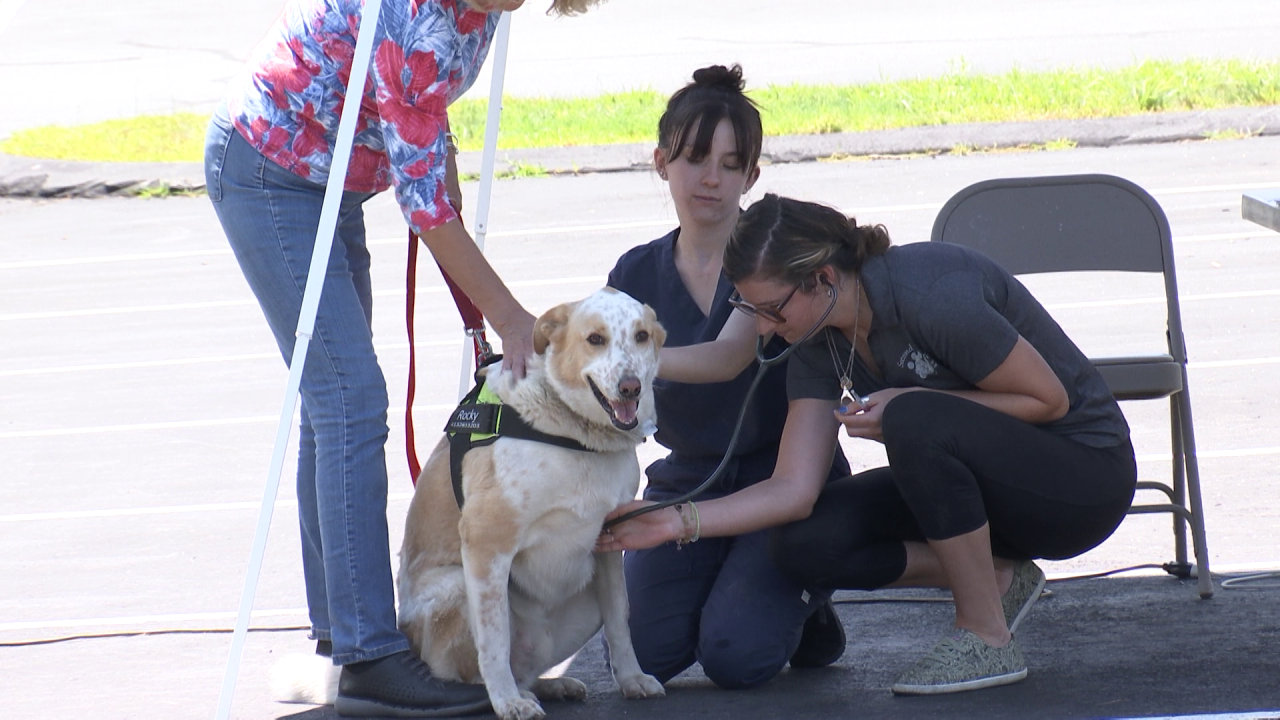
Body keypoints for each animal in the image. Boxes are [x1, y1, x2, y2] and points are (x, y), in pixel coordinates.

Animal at [399, 286, 670, 717]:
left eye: (642, 336)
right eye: (595, 339)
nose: (630, 387)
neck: (575, 435)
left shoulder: (611, 539)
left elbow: (620, 620)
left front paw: (631, 679)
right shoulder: (486, 540)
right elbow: (493, 642)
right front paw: (507, 702)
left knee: (527, 668)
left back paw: (549, 686)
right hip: (456, 586)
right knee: (474, 672)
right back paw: (511, 694)